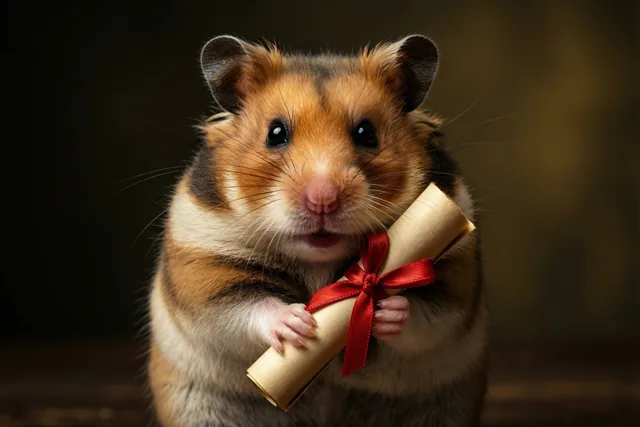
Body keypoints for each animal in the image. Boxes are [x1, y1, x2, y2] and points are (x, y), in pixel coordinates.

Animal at [147, 34, 488, 427]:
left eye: (366, 133)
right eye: (275, 133)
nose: (323, 200)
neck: (318, 261)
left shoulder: (456, 275)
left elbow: (426, 314)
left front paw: (386, 311)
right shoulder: (203, 263)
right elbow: (244, 305)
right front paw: (295, 323)